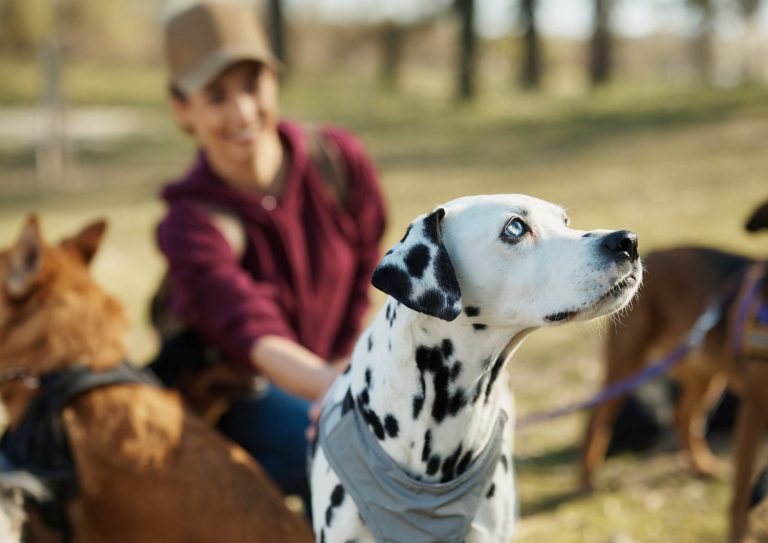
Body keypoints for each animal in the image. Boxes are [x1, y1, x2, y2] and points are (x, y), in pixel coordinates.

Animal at [584, 201, 768, 543]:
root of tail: (654, 252)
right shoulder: (754, 408)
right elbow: (742, 490)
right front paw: (738, 533)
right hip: (627, 367)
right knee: (597, 419)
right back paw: (586, 480)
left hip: (706, 375)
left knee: (684, 417)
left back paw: (702, 467)